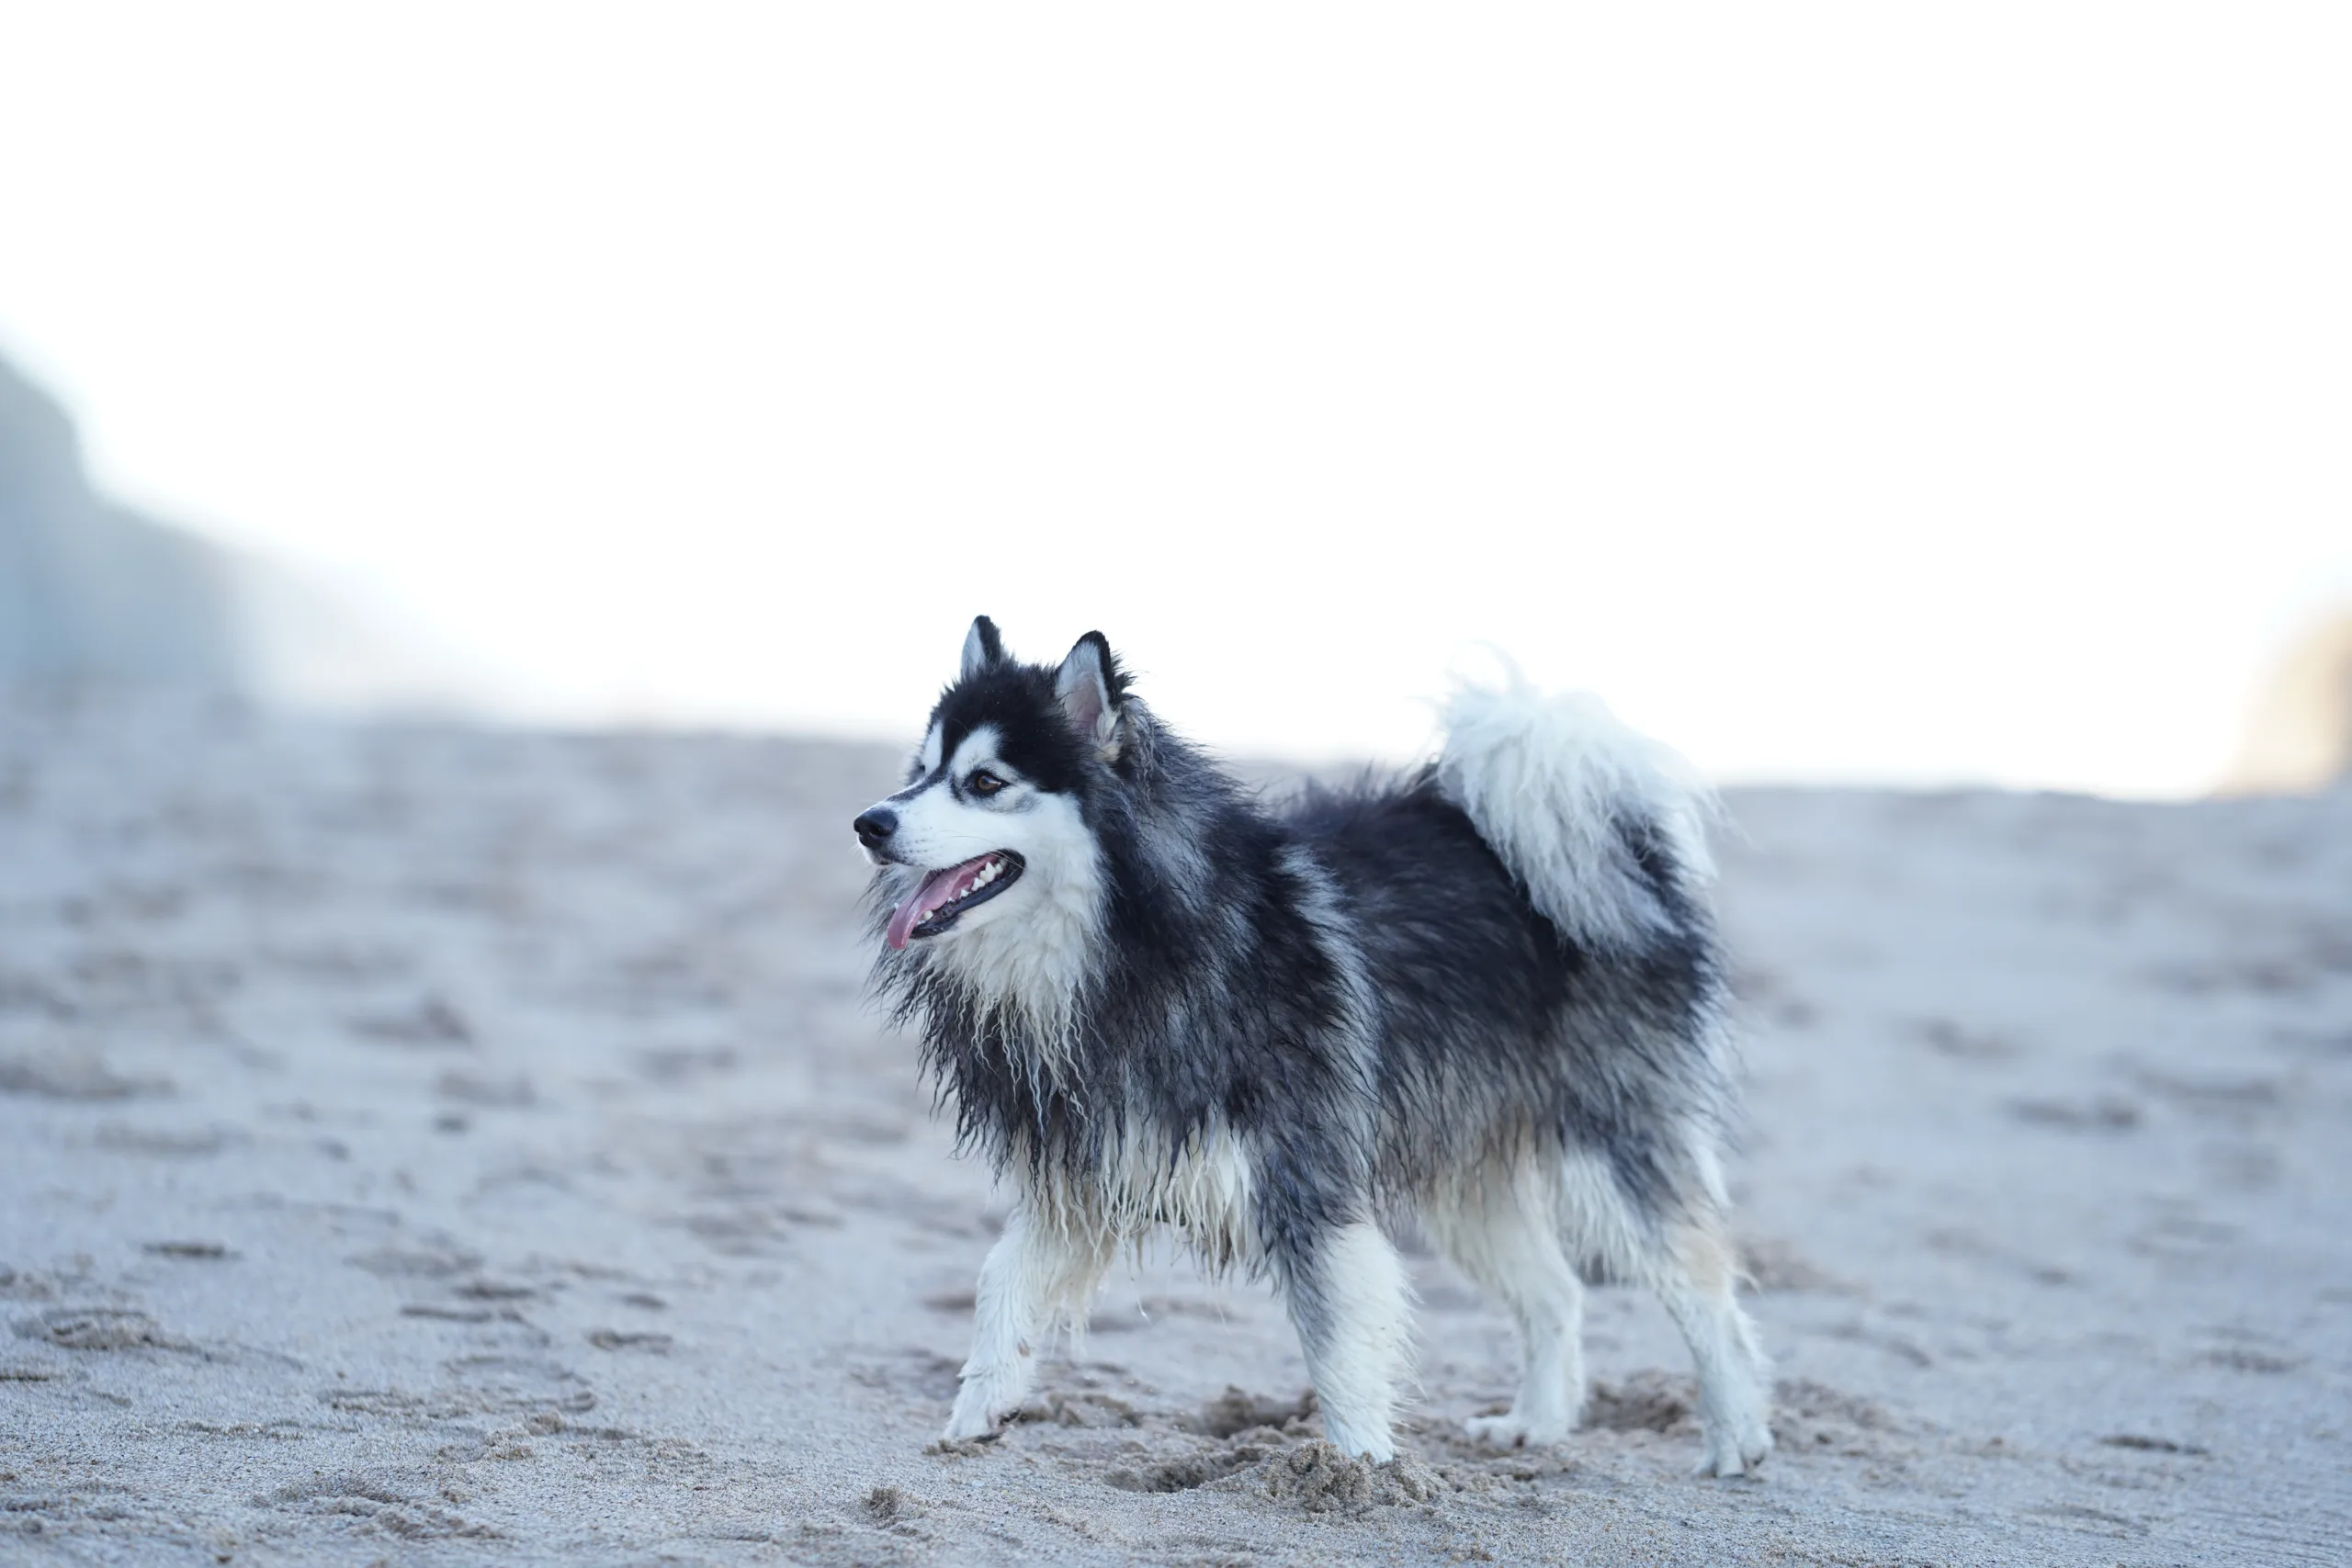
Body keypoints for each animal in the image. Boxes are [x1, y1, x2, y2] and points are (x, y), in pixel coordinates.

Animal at [855, 620, 1769, 1476]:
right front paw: (976, 1412)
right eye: (920, 769)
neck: (1130, 944)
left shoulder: (1305, 1181)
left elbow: (1337, 1346)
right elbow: (1000, 1280)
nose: (870, 821)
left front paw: (1359, 1473)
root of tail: (1612, 850)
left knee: (1702, 1282)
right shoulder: (1088, 1165)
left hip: (1609, 1141)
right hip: (1468, 1171)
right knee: (1556, 1292)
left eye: (985, 782)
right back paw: (1535, 1425)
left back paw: (1736, 1435)